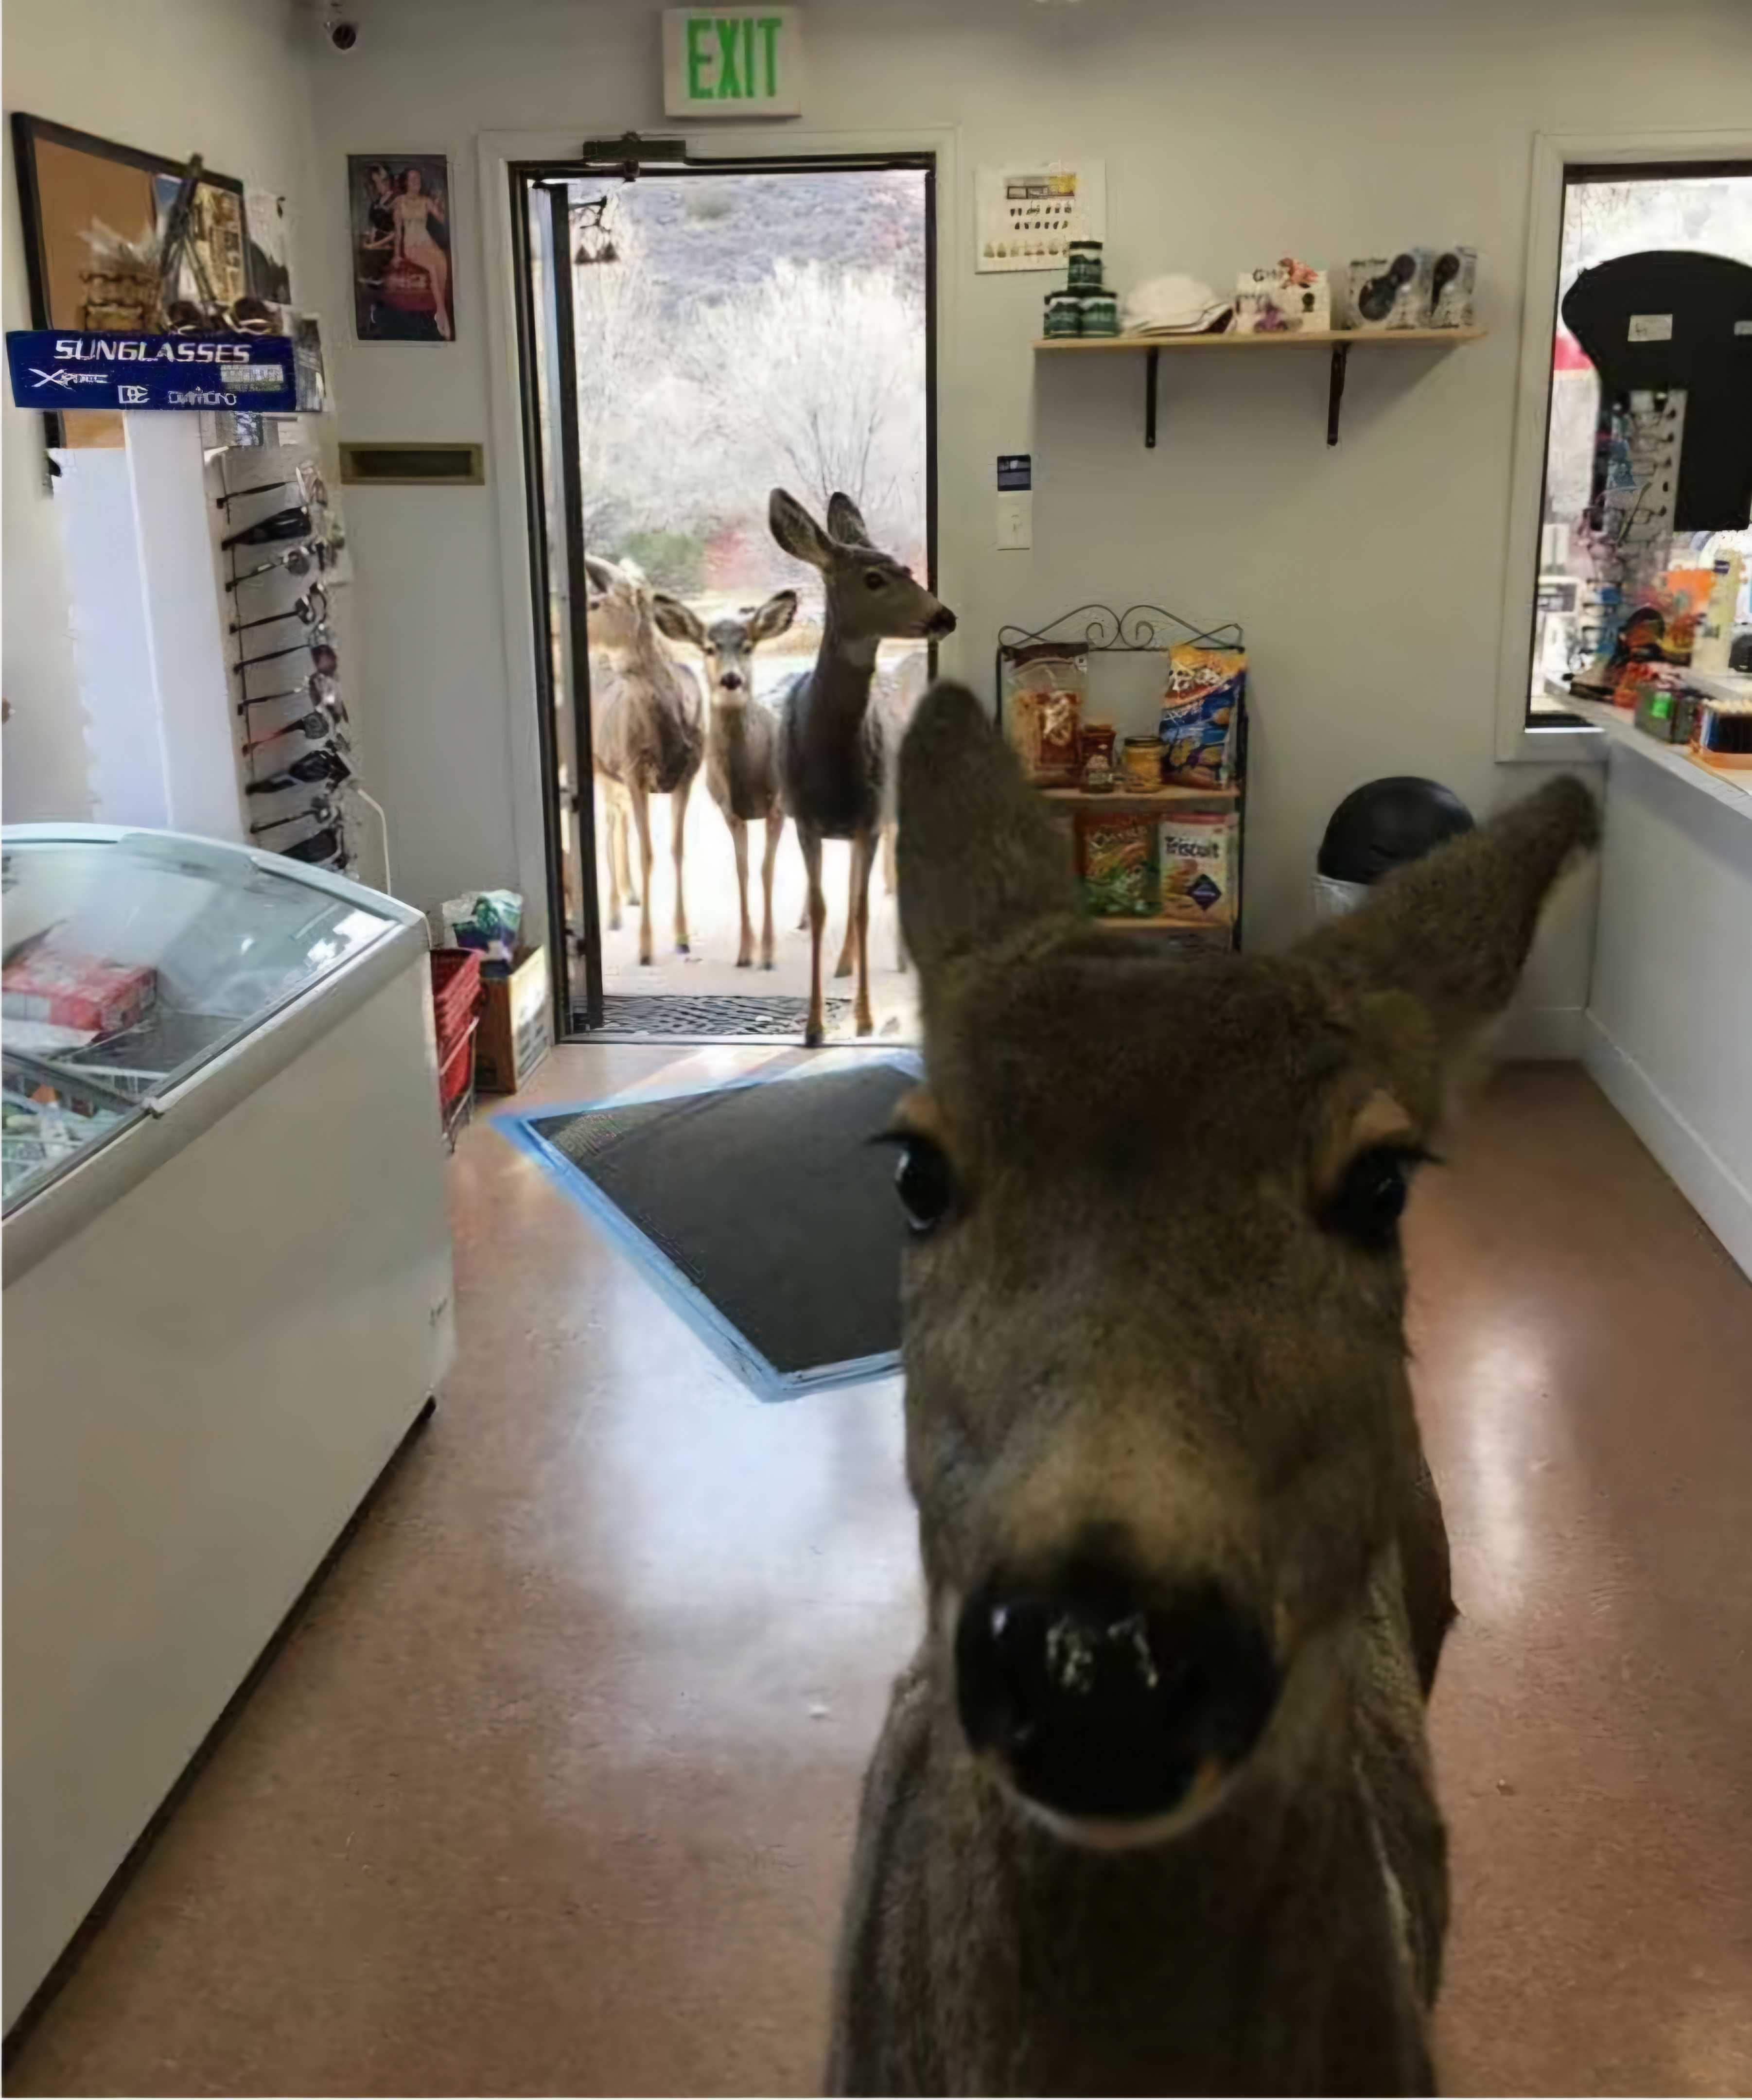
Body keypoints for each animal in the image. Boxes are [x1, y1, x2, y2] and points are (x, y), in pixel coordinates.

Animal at [583, 556, 704, 966]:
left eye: (595, 602)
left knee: (617, 819)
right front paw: (646, 946)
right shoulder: (634, 771)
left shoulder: (687, 776)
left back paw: (630, 894)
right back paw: (614, 911)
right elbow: (648, 853)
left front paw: (682, 938)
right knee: (607, 823)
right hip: (600, 766)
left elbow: (677, 851)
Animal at [651, 588, 798, 969]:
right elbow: (742, 871)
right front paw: (745, 953)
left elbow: (765, 870)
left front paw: (768, 953)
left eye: (748, 646)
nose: (731, 680)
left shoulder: (777, 805)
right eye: (708, 648)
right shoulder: (729, 811)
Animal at [767, 489, 955, 1046]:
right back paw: (844, 966)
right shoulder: (806, 821)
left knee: (867, 890)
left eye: (909, 569)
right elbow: (823, 908)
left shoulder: (870, 819)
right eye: (874, 579)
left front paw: (867, 1018)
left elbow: (864, 906)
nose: (944, 616)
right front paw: (813, 1027)